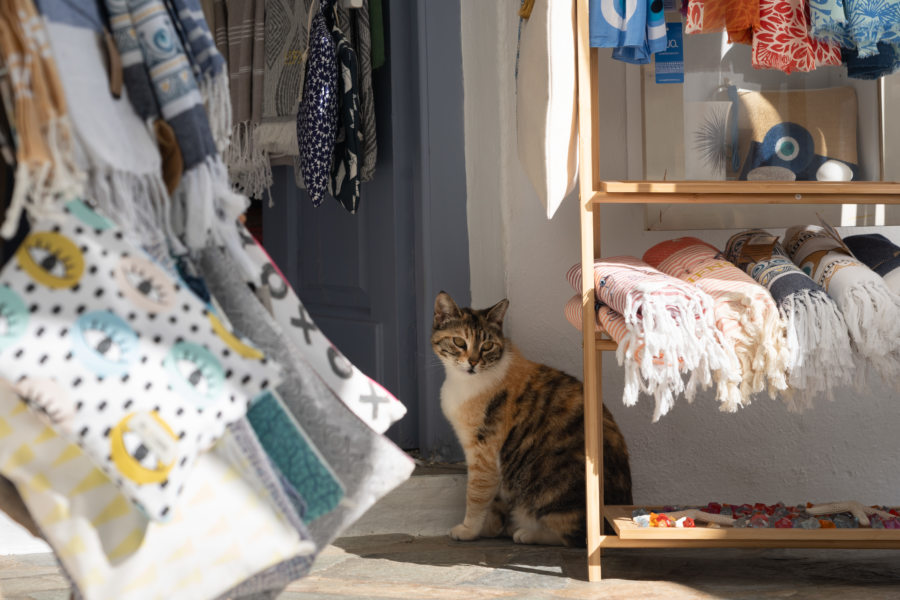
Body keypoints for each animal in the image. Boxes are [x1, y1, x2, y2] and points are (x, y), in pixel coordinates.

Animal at [430, 292, 632, 548]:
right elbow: (494, 498)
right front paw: (491, 527)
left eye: (487, 346)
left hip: (555, 489)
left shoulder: (483, 449)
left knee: (576, 536)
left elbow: (476, 493)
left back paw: (528, 533)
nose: (473, 362)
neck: (462, 382)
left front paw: (468, 530)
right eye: (459, 342)